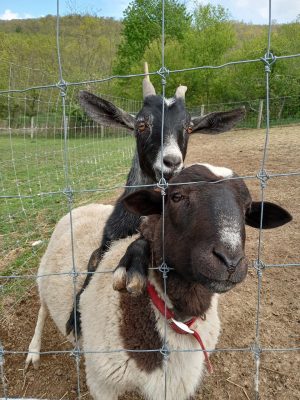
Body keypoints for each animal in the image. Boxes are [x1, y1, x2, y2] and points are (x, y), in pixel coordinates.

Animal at [26, 163, 292, 400]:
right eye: (176, 196)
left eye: (247, 210)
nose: (230, 261)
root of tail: (84, 206)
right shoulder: (102, 384)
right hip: (43, 276)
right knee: (42, 310)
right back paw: (33, 352)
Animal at [67, 65, 246, 334]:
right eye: (141, 124)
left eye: (189, 128)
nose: (172, 161)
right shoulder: (108, 238)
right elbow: (93, 262)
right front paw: (74, 317)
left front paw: (130, 268)